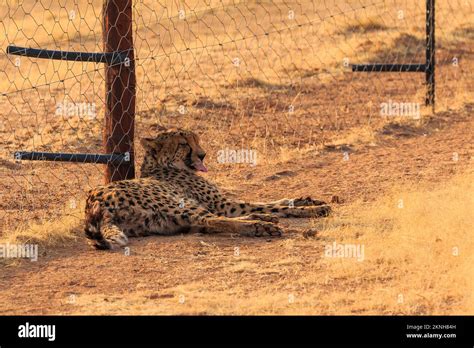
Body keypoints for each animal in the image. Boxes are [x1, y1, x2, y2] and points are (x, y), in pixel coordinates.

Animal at [84, 129, 330, 249]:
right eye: (184, 144)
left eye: (196, 139)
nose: (202, 155)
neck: (162, 165)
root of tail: (93, 202)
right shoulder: (223, 205)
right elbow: (267, 205)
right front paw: (313, 210)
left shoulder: (223, 204)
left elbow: (270, 202)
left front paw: (306, 201)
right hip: (179, 204)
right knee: (210, 220)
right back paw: (261, 226)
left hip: (164, 221)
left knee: (206, 224)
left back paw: (263, 221)